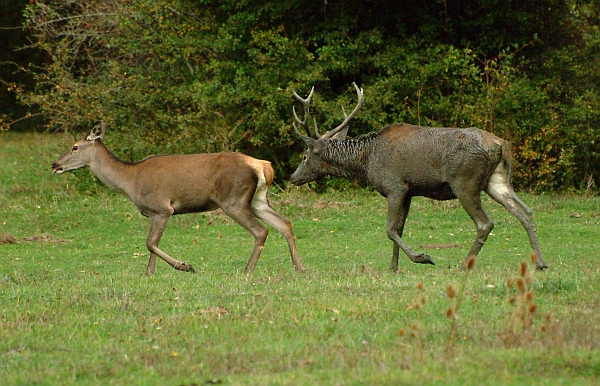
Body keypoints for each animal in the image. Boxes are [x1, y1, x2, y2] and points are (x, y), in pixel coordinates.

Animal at [51, 122, 304, 276]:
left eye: (75, 147)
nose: (55, 164)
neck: (130, 181)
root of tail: (263, 166)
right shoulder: (154, 213)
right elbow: (152, 245)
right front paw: (149, 273)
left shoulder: (162, 208)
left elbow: (150, 243)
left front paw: (184, 266)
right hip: (258, 199)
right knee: (285, 223)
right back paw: (299, 267)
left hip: (233, 199)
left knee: (261, 230)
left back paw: (247, 270)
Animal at [290, 83, 548, 272]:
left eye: (304, 156)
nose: (292, 178)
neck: (366, 160)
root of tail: (502, 145)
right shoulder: (410, 191)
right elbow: (400, 228)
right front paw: (393, 267)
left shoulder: (395, 186)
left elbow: (390, 229)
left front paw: (423, 257)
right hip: (496, 180)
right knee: (524, 212)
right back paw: (540, 262)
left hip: (465, 181)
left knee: (485, 223)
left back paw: (464, 265)